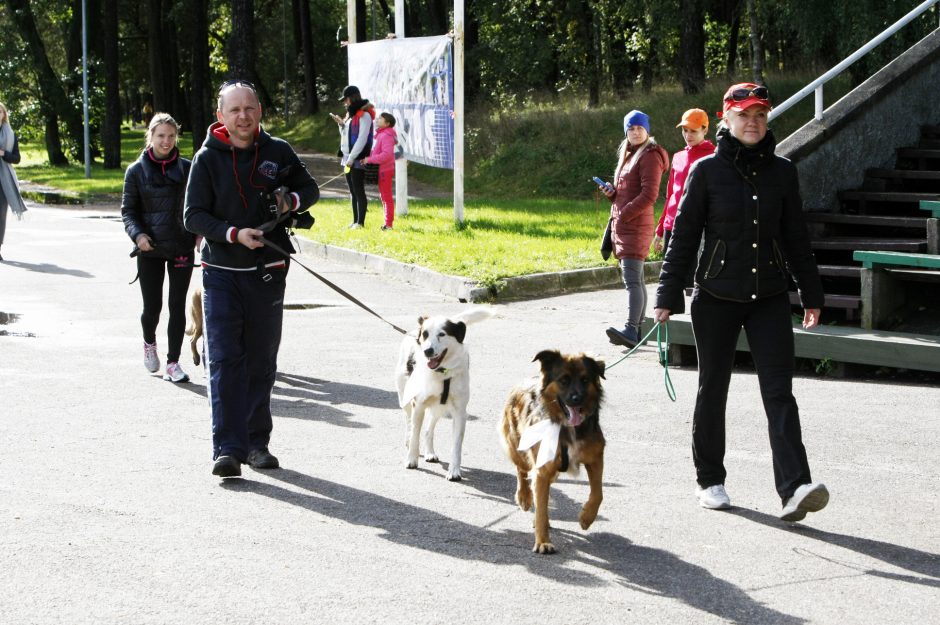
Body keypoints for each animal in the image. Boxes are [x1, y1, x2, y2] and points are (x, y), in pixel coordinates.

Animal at [394, 310, 496, 480]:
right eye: (425, 334)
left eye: (442, 334)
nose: (427, 351)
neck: (442, 373)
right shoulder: (418, 405)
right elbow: (415, 435)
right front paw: (411, 459)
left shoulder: (460, 412)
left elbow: (456, 445)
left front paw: (454, 471)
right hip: (405, 396)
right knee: (409, 423)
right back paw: (409, 442)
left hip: (438, 408)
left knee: (428, 430)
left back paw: (430, 453)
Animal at [500, 348, 608, 552]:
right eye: (564, 380)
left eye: (585, 380)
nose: (577, 399)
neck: (566, 426)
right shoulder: (542, 467)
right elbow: (541, 509)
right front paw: (543, 542)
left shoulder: (595, 457)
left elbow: (598, 493)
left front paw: (586, 518)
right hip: (518, 446)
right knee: (522, 471)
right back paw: (524, 497)